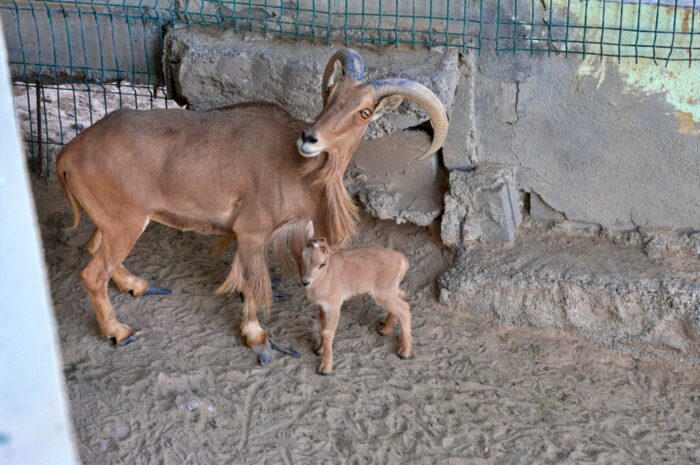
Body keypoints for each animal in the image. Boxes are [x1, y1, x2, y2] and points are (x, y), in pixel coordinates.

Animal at [300, 221, 410, 374]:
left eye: (322, 264)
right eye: (303, 257)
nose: (305, 282)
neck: (326, 276)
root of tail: (402, 260)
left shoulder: (334, 305)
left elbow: (328, 332)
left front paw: (325, 367)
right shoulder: (323, 306)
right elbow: (322, 324)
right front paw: (319, 349)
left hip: (384, 293)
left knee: (404, 309)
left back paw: (404, 352)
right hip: (389, 290)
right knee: (402, 297)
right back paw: (385, 329)